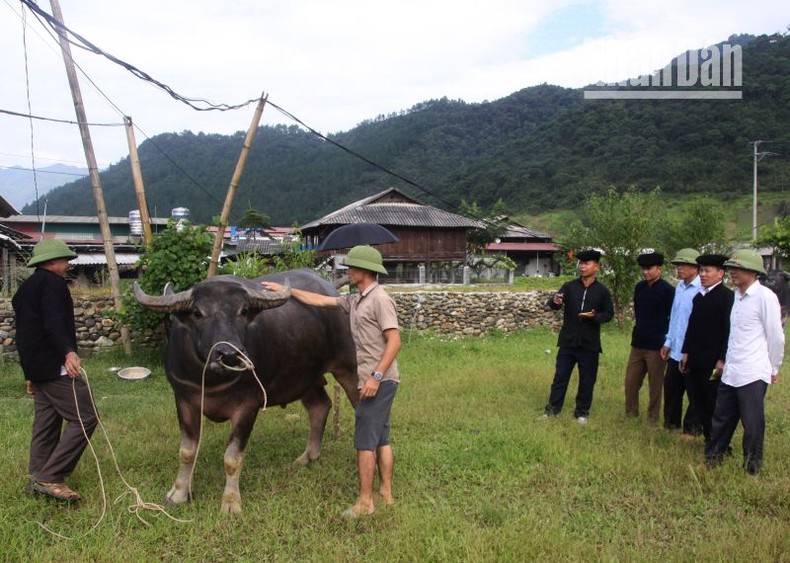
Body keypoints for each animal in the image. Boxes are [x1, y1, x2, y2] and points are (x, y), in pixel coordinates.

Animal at [135, 270, 358, 516]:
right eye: (197, 312)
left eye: (243, 310)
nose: (229, 354)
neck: (213, 380)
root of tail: (334, 293)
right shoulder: (184, 400)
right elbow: (186, 451)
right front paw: (178, 494)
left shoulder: (248, 406)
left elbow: (232, 458)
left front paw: (231, 503)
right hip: (304, 379)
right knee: (320, 406)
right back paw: (308, 457)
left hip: (348, 367)